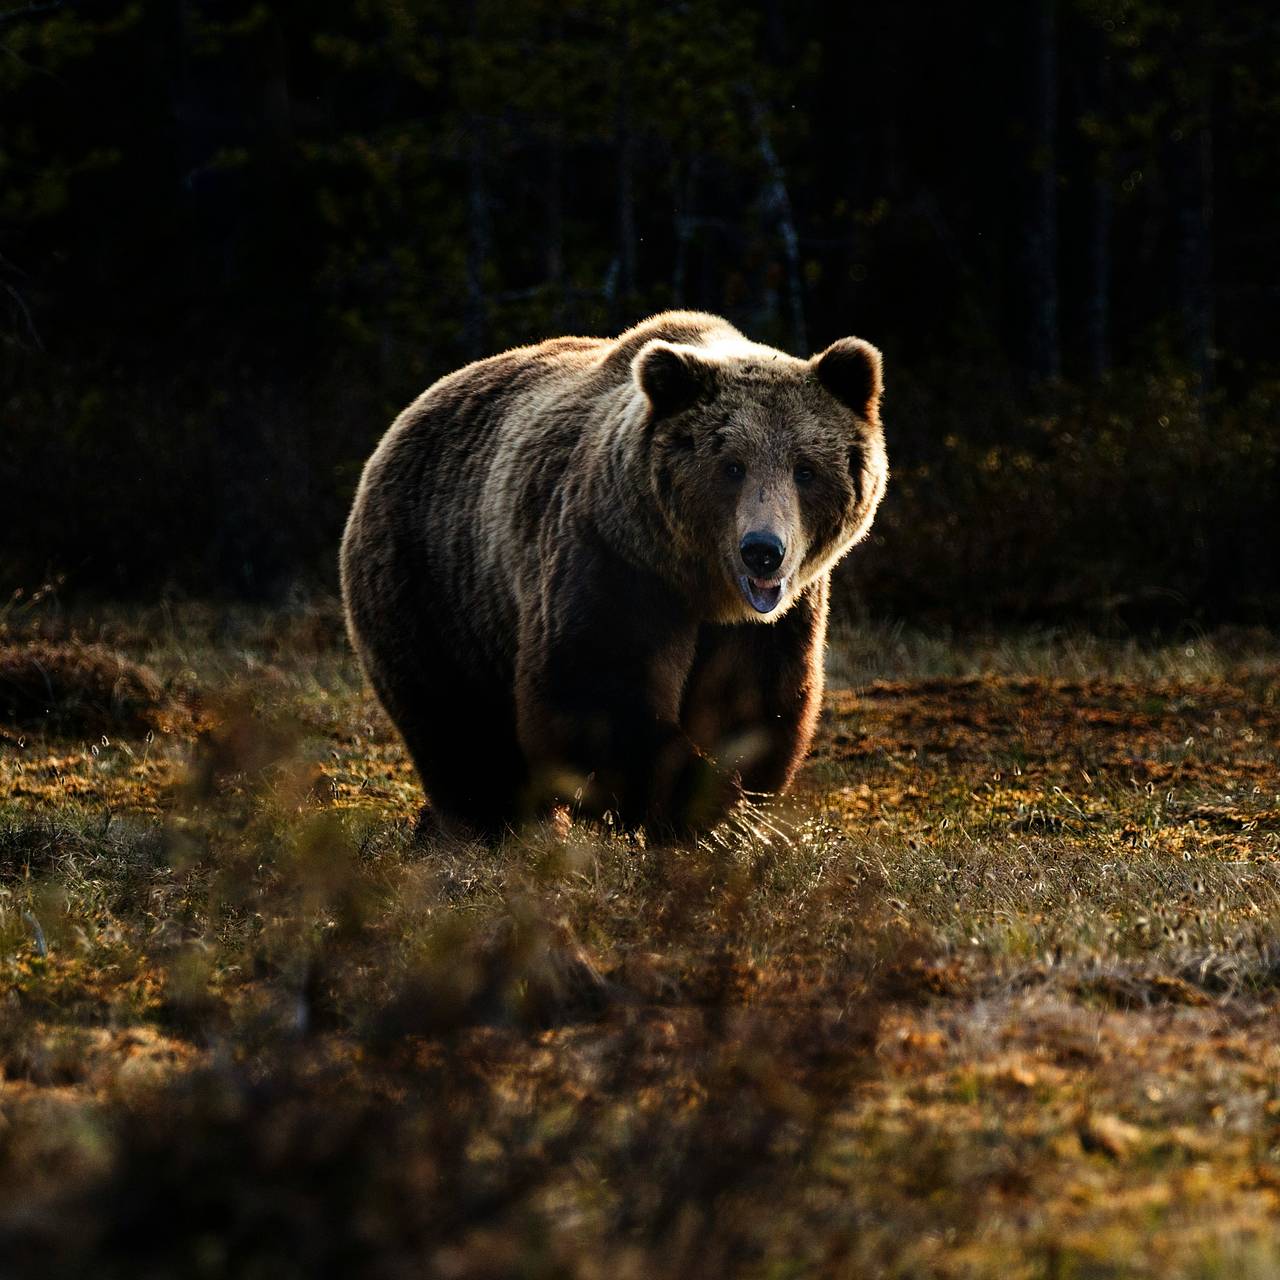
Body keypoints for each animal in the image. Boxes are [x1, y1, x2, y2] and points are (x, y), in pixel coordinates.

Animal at [340, 311, 890, 839]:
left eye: (805, 469)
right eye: (731, 466)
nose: (762, 552)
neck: (701, 585)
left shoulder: (777, 617)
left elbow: (755, 703)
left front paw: (732, 808)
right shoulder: (614, 561)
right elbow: (595, 690)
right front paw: (698, 809)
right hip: (434, 582)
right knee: (457, 724)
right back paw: (491, 823)